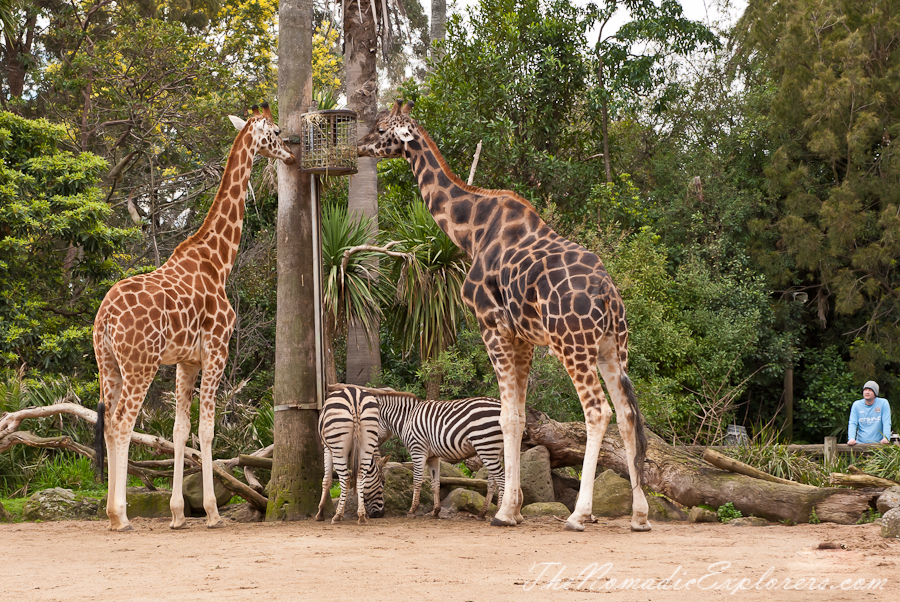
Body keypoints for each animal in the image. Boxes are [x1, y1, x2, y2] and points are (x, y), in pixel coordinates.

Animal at [94, 104, 296, 528]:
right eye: (275, 131)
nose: (290, 153)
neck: (218, 262)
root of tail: (104, 318)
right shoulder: (217, 350)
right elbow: (206, 430)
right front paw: (213, 511)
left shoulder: (186, 361)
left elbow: (179, 429)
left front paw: (176, 513)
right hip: (140, 364)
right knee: (121, 423)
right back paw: (121, 515)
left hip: (108, 365)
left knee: (106, 424)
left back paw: (111, 513)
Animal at [316, 384, 386, 520]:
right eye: (383, 482)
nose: (381, 514)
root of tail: (355, 398)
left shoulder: (327, 448)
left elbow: (327, 480)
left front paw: (320, 513)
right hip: (367, 441)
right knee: (360, 476)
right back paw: (362, 517)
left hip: (338, 447)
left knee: (345, 478)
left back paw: (337, 516)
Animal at [370, 392, 502, 516]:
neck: (407, 420)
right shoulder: (432, 457)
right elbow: (435, 483)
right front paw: (436, 511)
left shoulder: (417, 451)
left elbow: (417, 480)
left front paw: (412, 510)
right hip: (493, 450)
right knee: (492, 482)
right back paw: (482, 514)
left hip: (485, 446)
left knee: (501, 478)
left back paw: (498, 513)